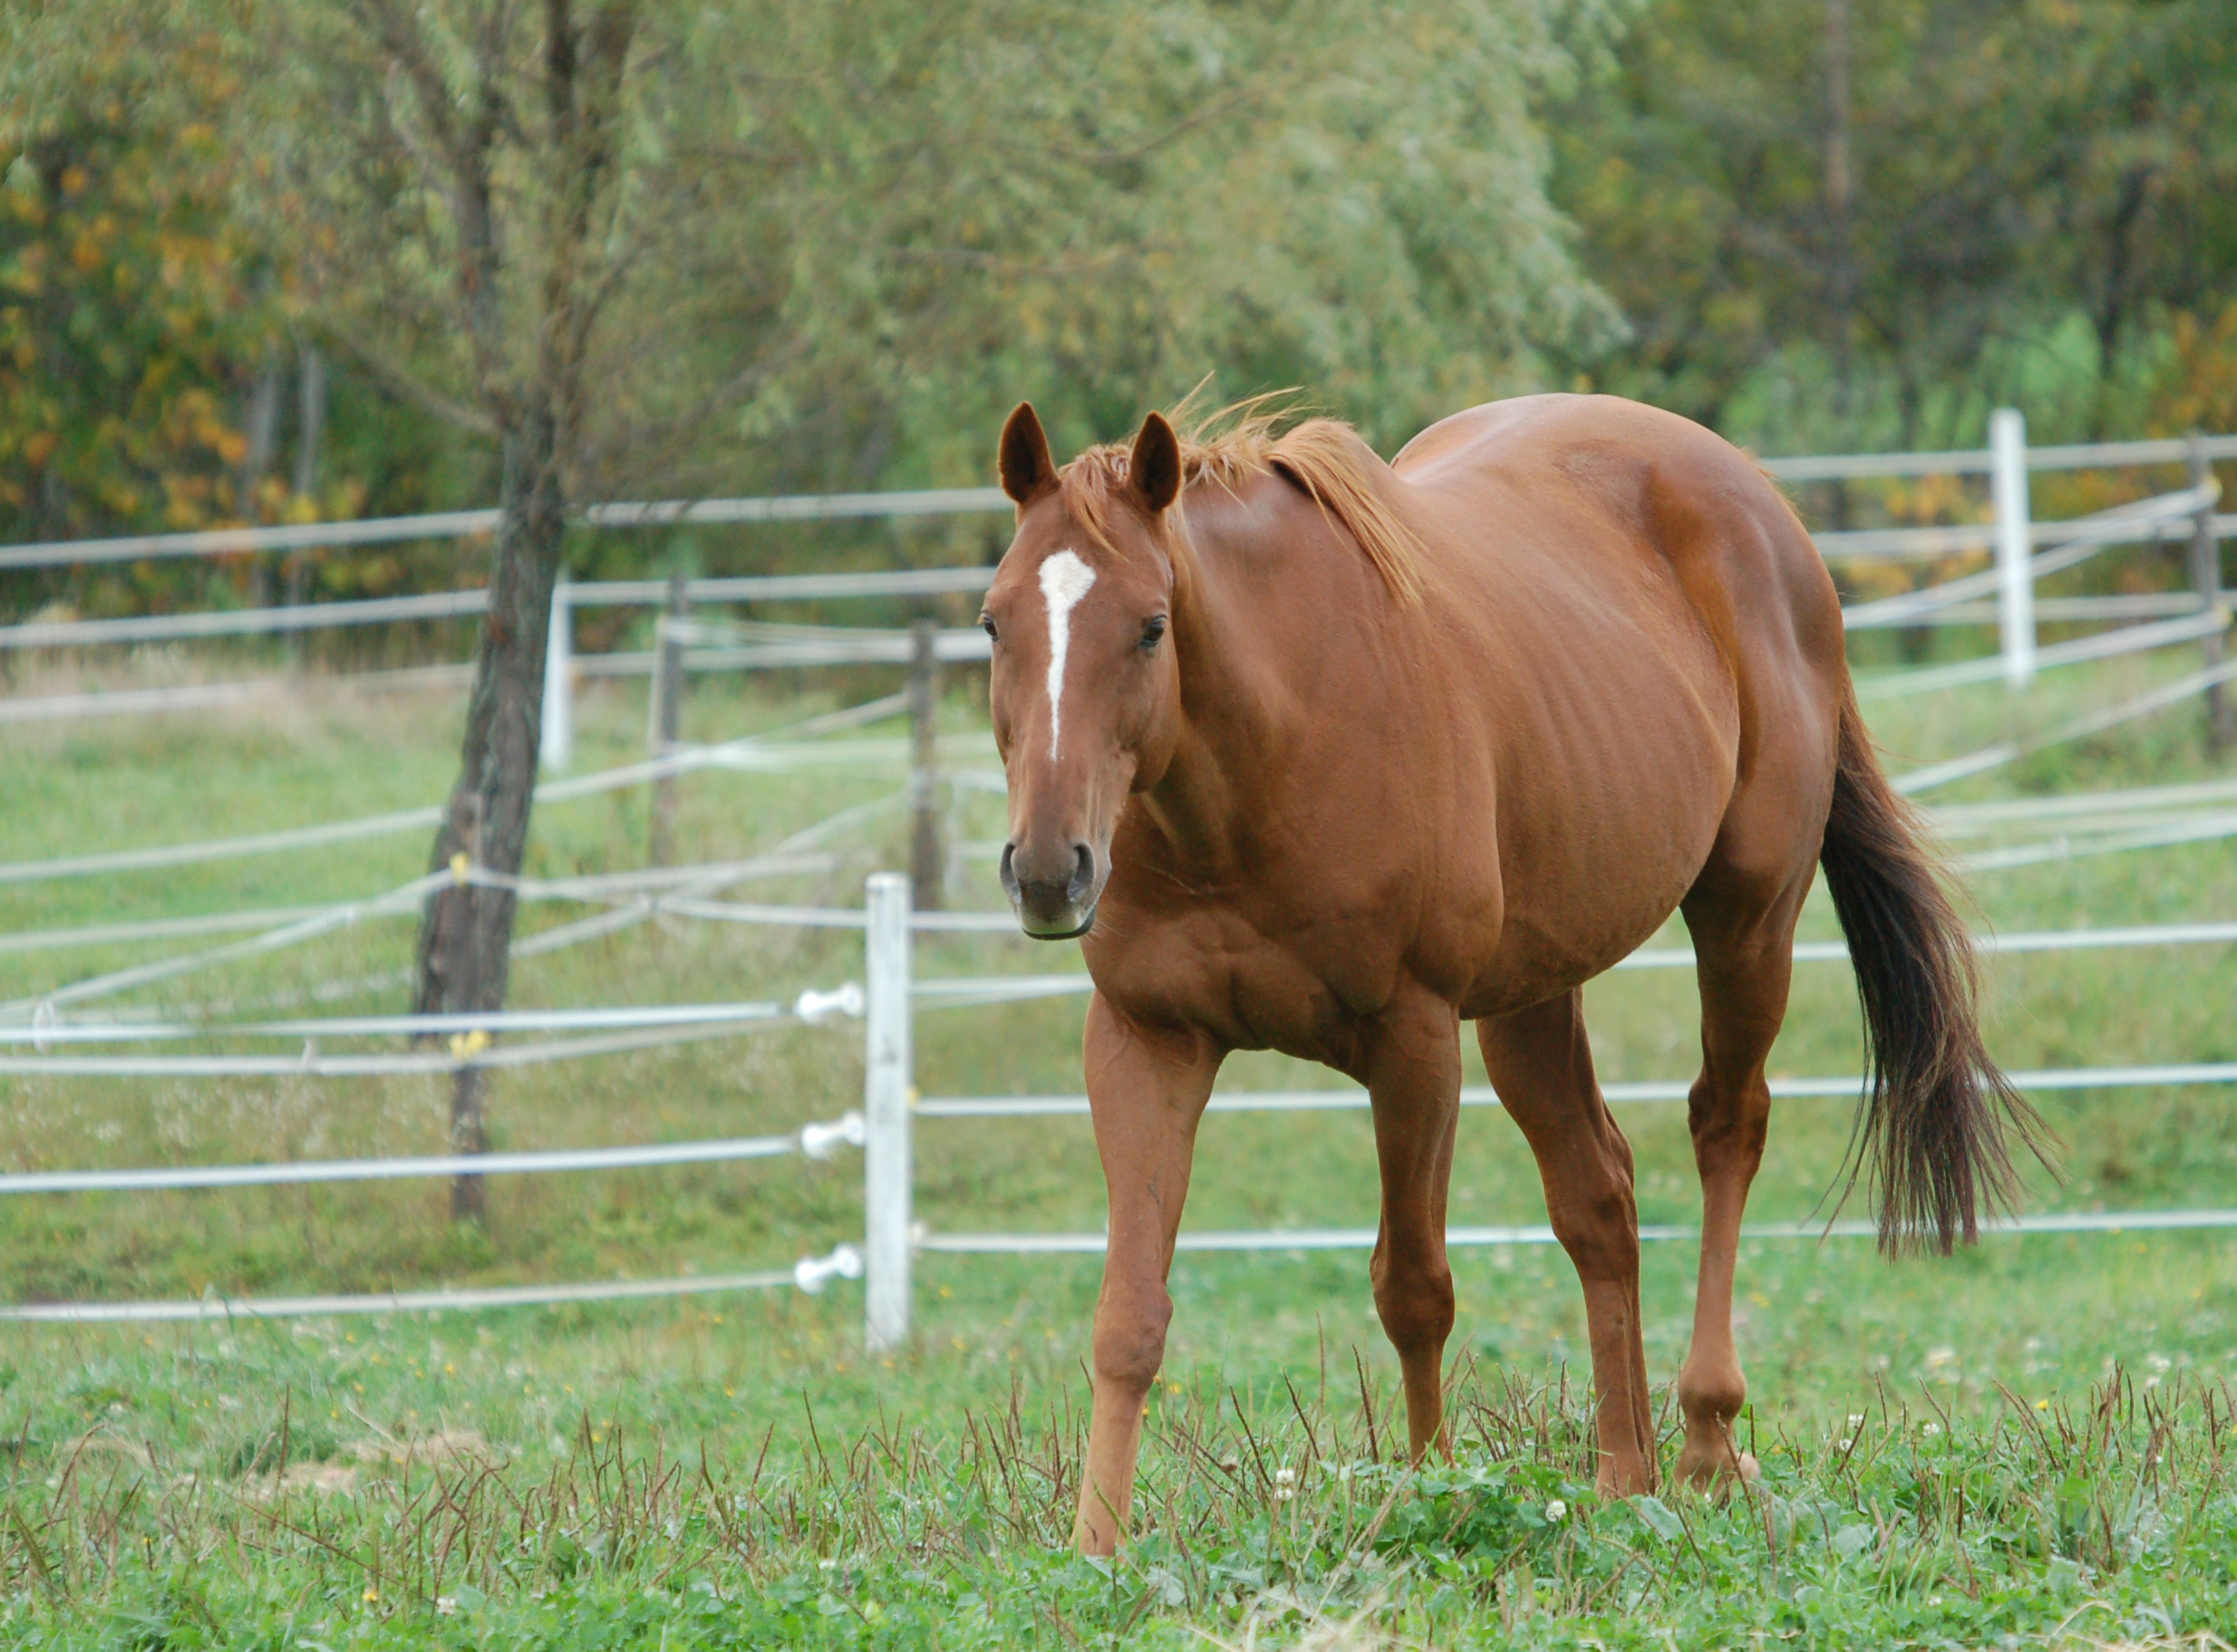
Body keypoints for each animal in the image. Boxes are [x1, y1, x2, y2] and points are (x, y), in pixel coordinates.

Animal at [979, 393, 2048, 1555]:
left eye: (1150, 626)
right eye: (993, 623)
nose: (1048, 869)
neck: (1264, 756)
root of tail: (1765, 510)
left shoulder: (1411, 1042)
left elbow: (1412, 1286)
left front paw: (1425, 1495)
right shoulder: (1145, 1040)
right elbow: (1127, 1312)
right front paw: (1094, 1546)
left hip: (1746, 918)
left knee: (1725, 1125)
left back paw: (1705, 1441)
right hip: (1533, 995)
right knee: (1598, 1195)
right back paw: (1623, 1476)